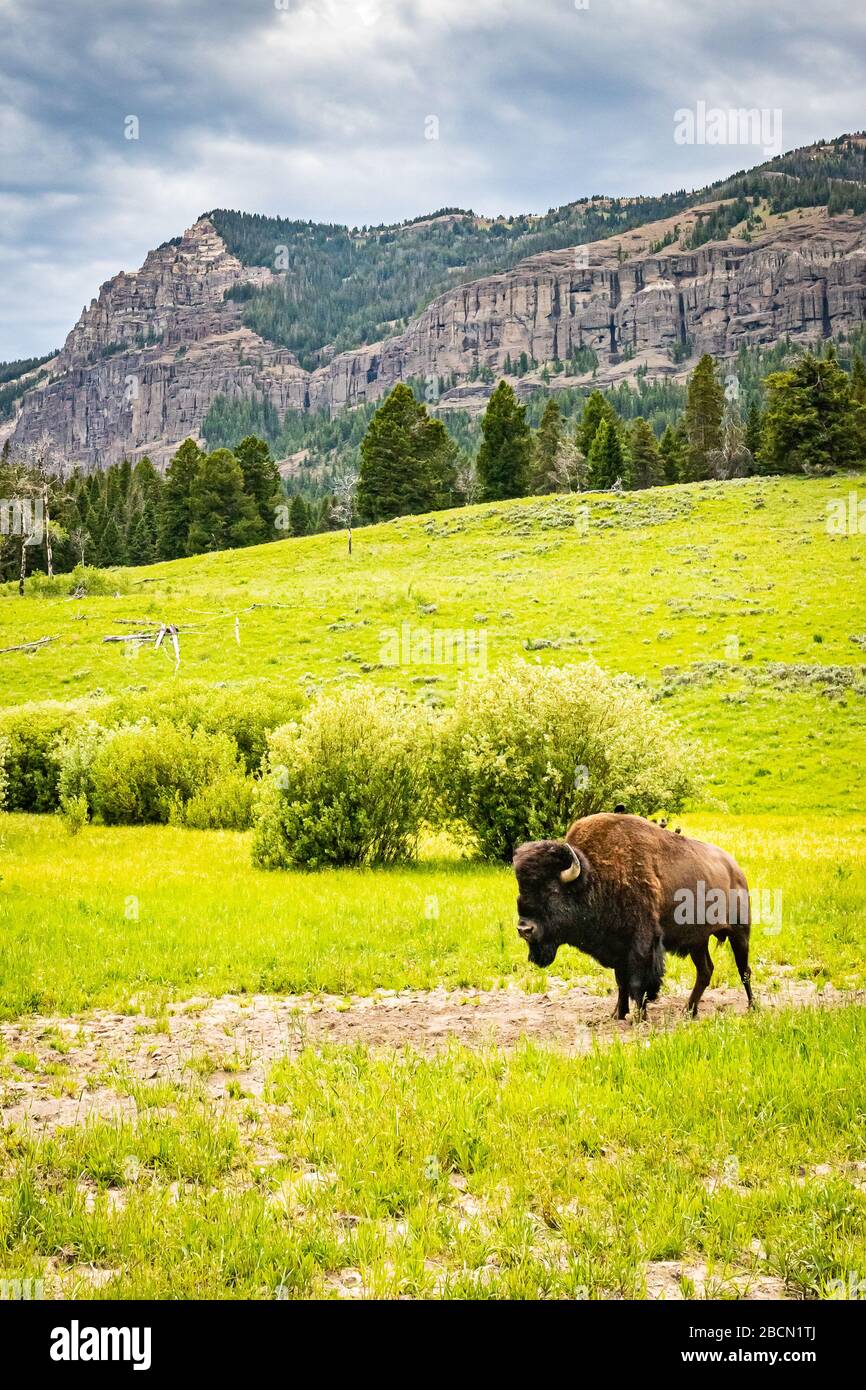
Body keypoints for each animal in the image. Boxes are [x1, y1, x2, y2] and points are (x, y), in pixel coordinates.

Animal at [514, 811, 750, 1023]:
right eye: (521, 890)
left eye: (552, 890)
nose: (525, 929)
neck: (593, 876)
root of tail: (735, 869)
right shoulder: (617, 946)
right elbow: (621, 981)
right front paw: (617, 1014)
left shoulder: (642, 944)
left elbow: (637, 983)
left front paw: (639, 1018)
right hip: (697, 941)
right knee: (705, 971)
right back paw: (688, 1012)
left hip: (739, 933)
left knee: (743, 970)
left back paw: (751, 1007)